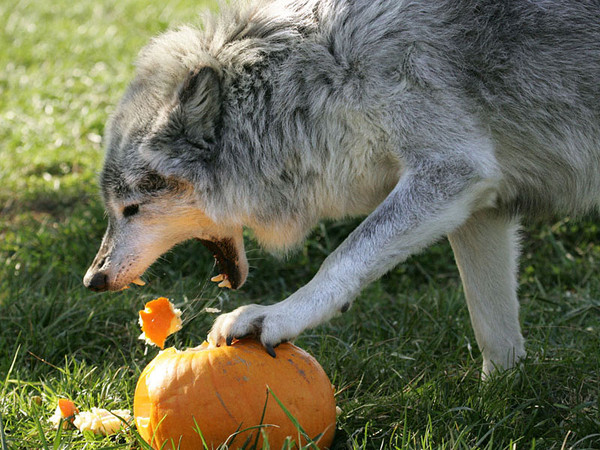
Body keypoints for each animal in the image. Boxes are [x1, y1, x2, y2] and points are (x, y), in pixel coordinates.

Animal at [83, 0, 600, 376]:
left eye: (131, 209)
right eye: (114, 210)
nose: (92, 280)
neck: (319, 81)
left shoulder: (452, 170)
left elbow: (342, 257)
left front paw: (277, 315)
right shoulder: (480, 209)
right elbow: (494, 328)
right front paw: (503, 396)